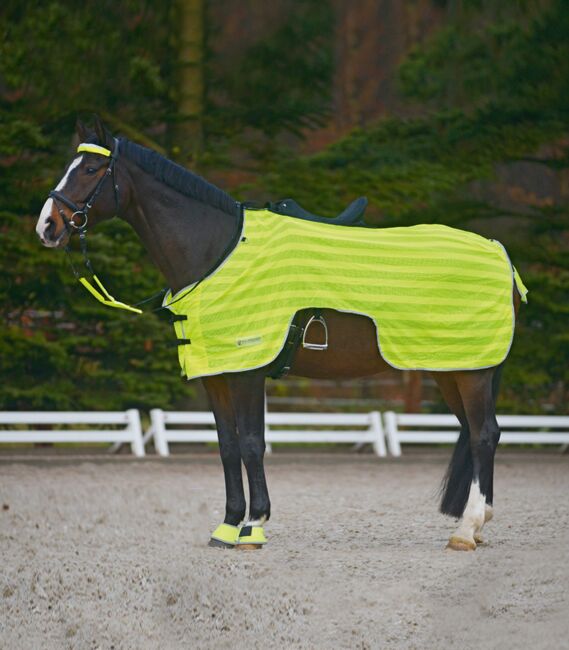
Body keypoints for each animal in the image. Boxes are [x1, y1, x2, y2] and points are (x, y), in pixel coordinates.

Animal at [36, 117, 524, 551]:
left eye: (91, 169)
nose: (47, 226)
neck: (218, 251)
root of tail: (499, 252)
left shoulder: (248, 370)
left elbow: (253, 444)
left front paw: (254, 526)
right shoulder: (216, 375)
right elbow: (228, 446)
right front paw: (227, 526)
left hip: (471, 371)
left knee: (483, 434)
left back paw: (467, 530)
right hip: (451, 367)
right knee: (476, 432)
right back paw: (477, 524)